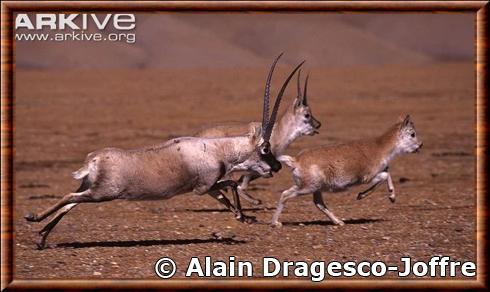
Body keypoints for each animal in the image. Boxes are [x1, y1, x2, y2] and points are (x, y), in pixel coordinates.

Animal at [26, 54, 304, 249]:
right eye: (265, 148)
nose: (277, 166)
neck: (218, 148)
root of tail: (93, 159)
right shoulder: (203, 187)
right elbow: (232, 183)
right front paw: (243, 216)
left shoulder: (209, 189)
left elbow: (226, 193)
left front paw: (242, 217)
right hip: (102, 193)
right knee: (68, 198)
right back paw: (33, 219)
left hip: (91, 189)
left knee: (70, 202)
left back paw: (41, 237)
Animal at [272, 115, 422, 227]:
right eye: (412, 134)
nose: (420, 146)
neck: (380, 148)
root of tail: (295, 160)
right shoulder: (368, 177)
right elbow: (385, 175)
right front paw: (370, 196)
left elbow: (387, 173)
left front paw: (389, 197)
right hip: (306, 187)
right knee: (285, 194)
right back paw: (275, 223)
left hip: (315, 188)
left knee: (318, 203)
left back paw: (338, 222)